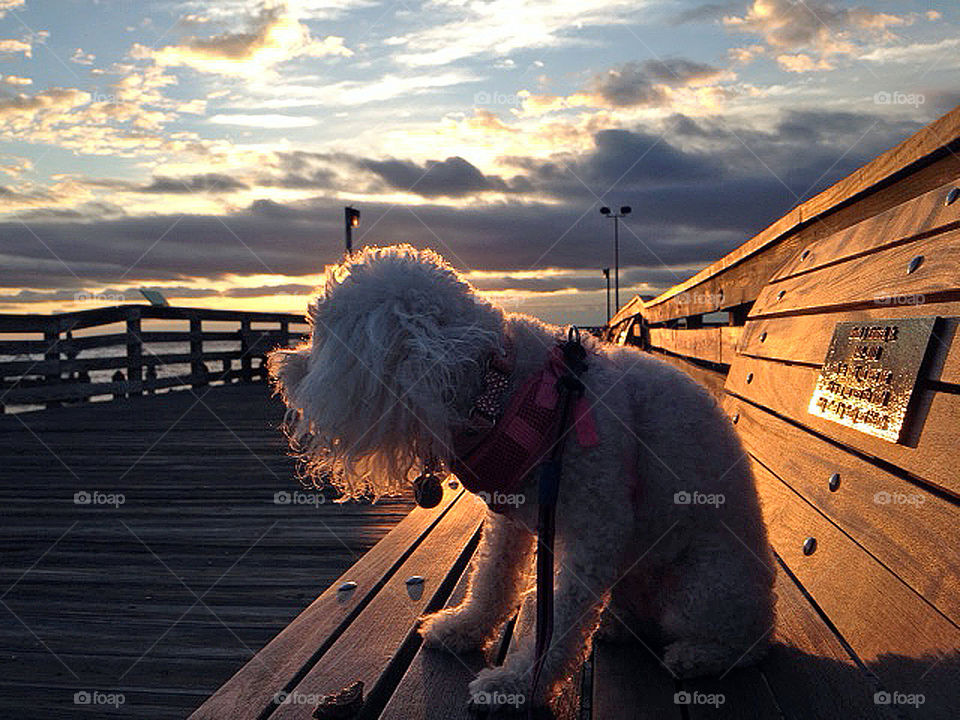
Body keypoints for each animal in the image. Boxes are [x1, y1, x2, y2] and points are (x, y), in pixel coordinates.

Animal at [266, 245, 776, 712]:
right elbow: (492, 577)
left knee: (745, 644)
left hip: (701, 590)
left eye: (322, 338)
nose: (279, 368)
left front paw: (514, 683)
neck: (506, 391)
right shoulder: (509, 520)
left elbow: (557, 613)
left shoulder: (596, 527)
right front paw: (464, 628)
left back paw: (700, 655)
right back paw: (616, 624)